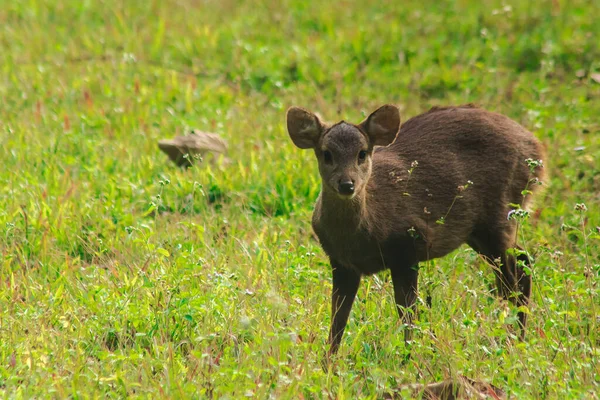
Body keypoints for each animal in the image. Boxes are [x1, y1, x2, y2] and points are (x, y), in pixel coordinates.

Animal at [286, 102, 544, 356]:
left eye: (362, 153)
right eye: (326, 154)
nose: (347, 184)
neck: (365, 230)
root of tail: (536, 149)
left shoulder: (408, 248)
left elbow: (408, 315)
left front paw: (409, 358)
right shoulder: (341, 263)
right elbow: (337, 321)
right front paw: (328, 362)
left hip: (499, 216)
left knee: (516, 275)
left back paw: (514, 342)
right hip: (479, 232)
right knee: (518, 267)